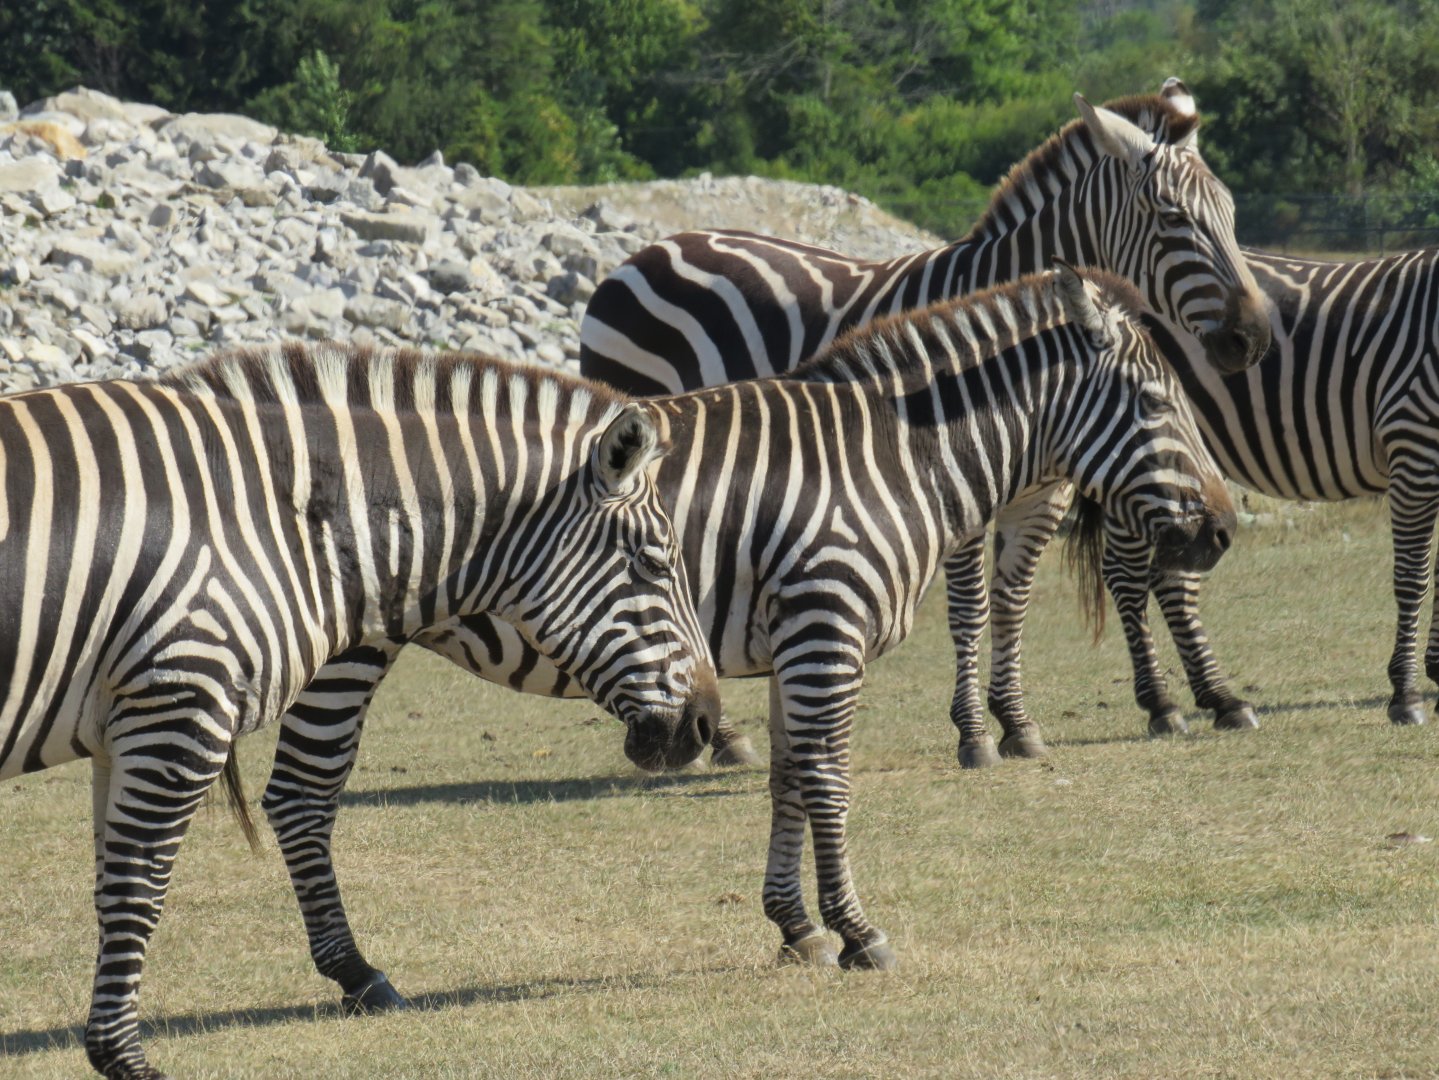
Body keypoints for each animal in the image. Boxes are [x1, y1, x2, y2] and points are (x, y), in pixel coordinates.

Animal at [0, 341, 720, 1080]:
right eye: (654, 563)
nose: (704, 724)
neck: (269, 520)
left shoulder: (123, 726)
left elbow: (108, 885)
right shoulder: (178, 708)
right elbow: (138, 892)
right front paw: (123, 1058)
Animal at [263, 265, 1238, 974]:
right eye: (1158, 404)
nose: (1223, 533)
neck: (897, 457)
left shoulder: (791, 647)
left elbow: (787, 782)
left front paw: (797, 928)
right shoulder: (826, 629)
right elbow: (830, 783)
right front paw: (860, 934)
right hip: (340, 652)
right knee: (299, 797)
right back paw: (355, 974)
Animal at [576, 84, 1270, 766]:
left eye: (1233, 214)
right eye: (1174, 217)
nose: (1254, 337)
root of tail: (644, 252)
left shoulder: (1043, 492)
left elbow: (1013, 601)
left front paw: (1016, 720)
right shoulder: (962, 481)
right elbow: (970, 606)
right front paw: (974, 732)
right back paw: (723, 739)